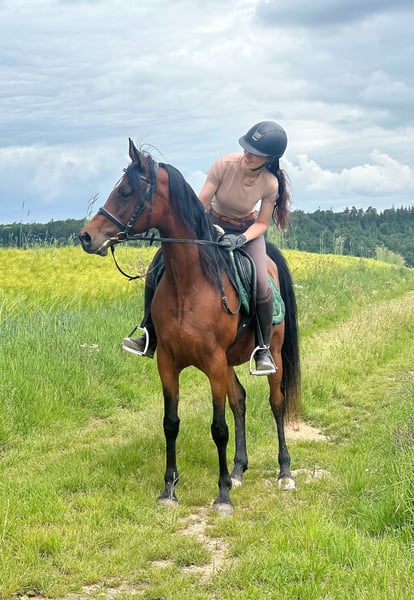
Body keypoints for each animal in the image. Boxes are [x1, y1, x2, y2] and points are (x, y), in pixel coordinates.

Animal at [79, 138, 301, 516]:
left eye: (125, 192)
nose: (86, 237)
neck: (191, 283)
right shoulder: (168, 361)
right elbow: (171, 424)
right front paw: (169, 489)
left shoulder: (213, 362)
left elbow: (218, 427)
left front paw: (222, 496)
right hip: (228, 364)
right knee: (240, 400)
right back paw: (238, 470)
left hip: (266, 358)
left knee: (276, 403)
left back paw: (283, 472)